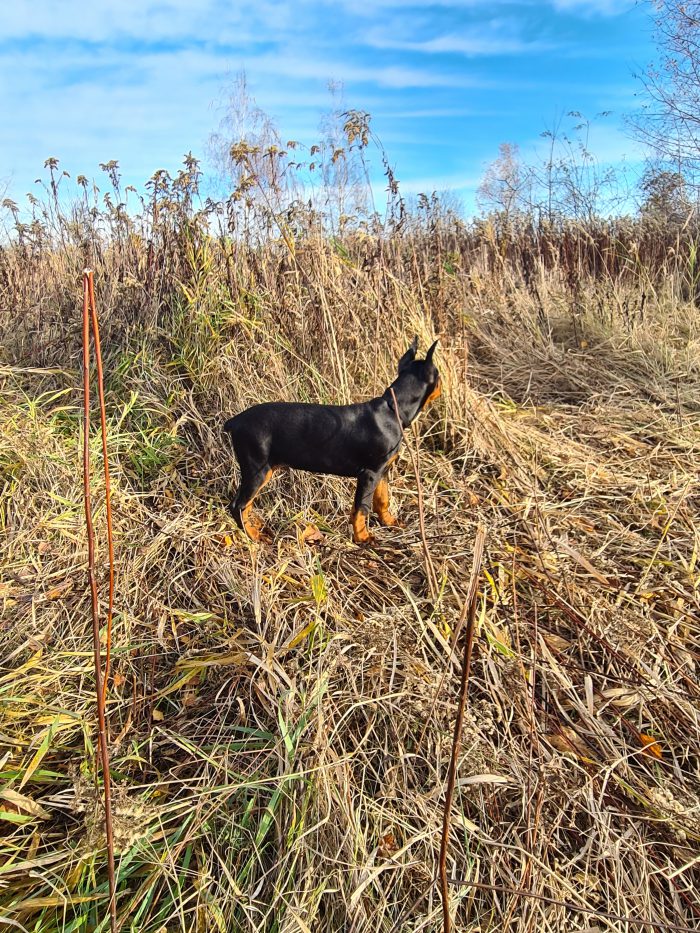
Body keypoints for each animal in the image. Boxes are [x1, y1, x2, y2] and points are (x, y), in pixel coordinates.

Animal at [223, 337, 441, 544]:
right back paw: (253, 535)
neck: (393, 409)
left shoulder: (383, 471)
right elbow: (362, 508)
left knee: (245, 505)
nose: (444, 387)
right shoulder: (370, 474)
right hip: (258, 469)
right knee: (238, 505)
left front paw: (390, 522)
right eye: (439, 376)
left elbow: (382, 500)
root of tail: (235, 421)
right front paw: (363, 538)